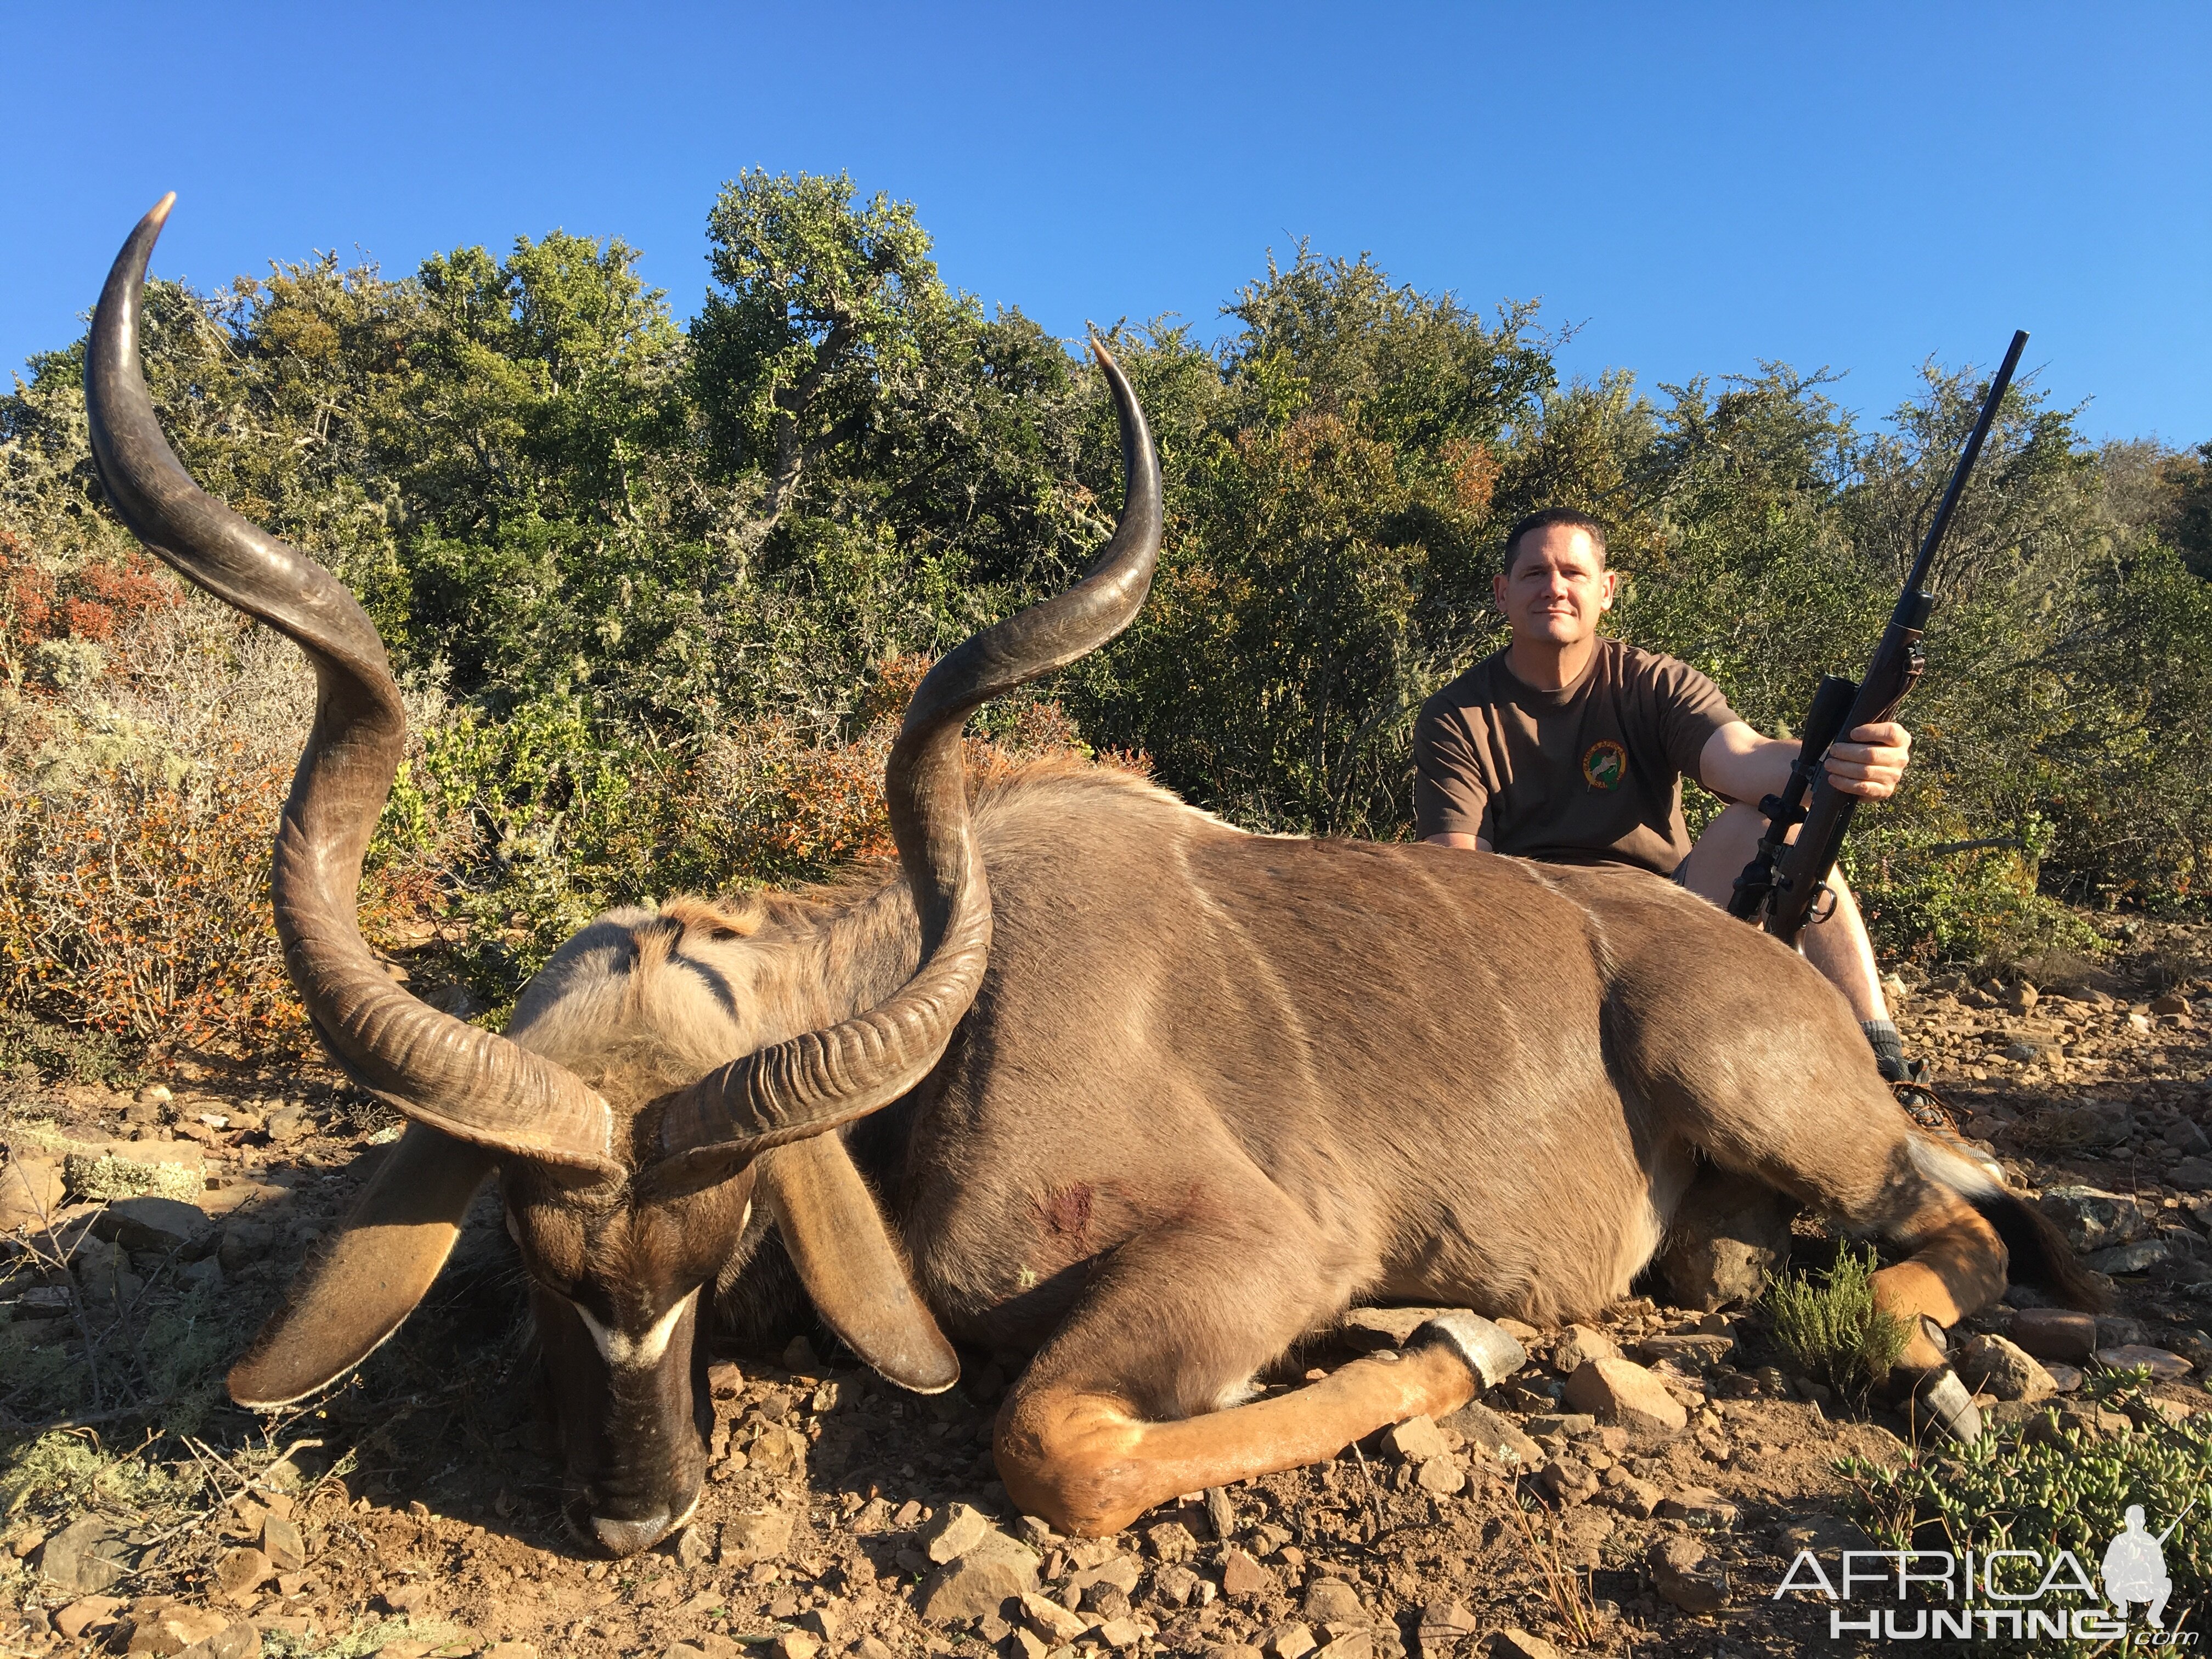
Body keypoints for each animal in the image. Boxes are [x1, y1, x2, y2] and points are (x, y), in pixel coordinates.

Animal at [86, 198, 2088, 1557]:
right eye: (520, 1240)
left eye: (723, 1238)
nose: (638, 1516)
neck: (952, 1021)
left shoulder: (1247, 1252)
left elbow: (1052, 1441)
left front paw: (1458, 1334)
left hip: (1741, 1077)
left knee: (1958, 1231)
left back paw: (1906, 1355)